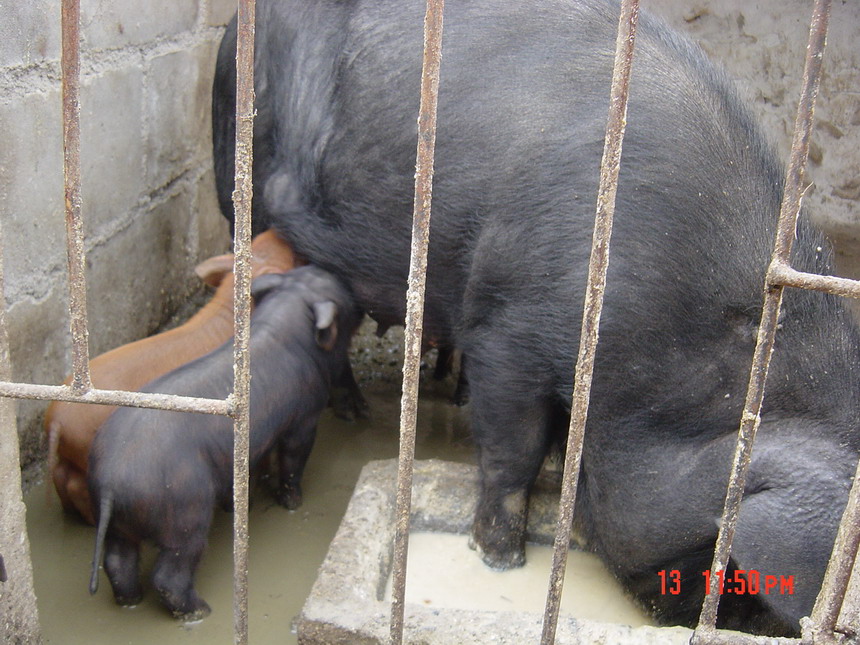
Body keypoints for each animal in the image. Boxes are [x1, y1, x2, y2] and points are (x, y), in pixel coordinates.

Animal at [44, 230, 301, 525]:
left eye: (257, 242)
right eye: (290, 258)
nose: (278, 231)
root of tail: (56, 420)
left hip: (70, 459)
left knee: (63, 480)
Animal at [88, 266, 360, 620]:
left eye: (305, 271)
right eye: (341, 293)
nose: (322, 266)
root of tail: (111, 479)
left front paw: (246, 505)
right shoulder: (303, 420)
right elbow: (292, 461)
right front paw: (293, 504)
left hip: (118, 522)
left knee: (118, 561)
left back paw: (130, 602)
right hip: (185, 510)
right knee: (170, 573)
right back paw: (201, 612)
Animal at [212, 0, 860, 635]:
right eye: (739, 579)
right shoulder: (508, 325)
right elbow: (513, 449)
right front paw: (500, 558)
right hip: (235, 174)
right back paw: (355, 412)